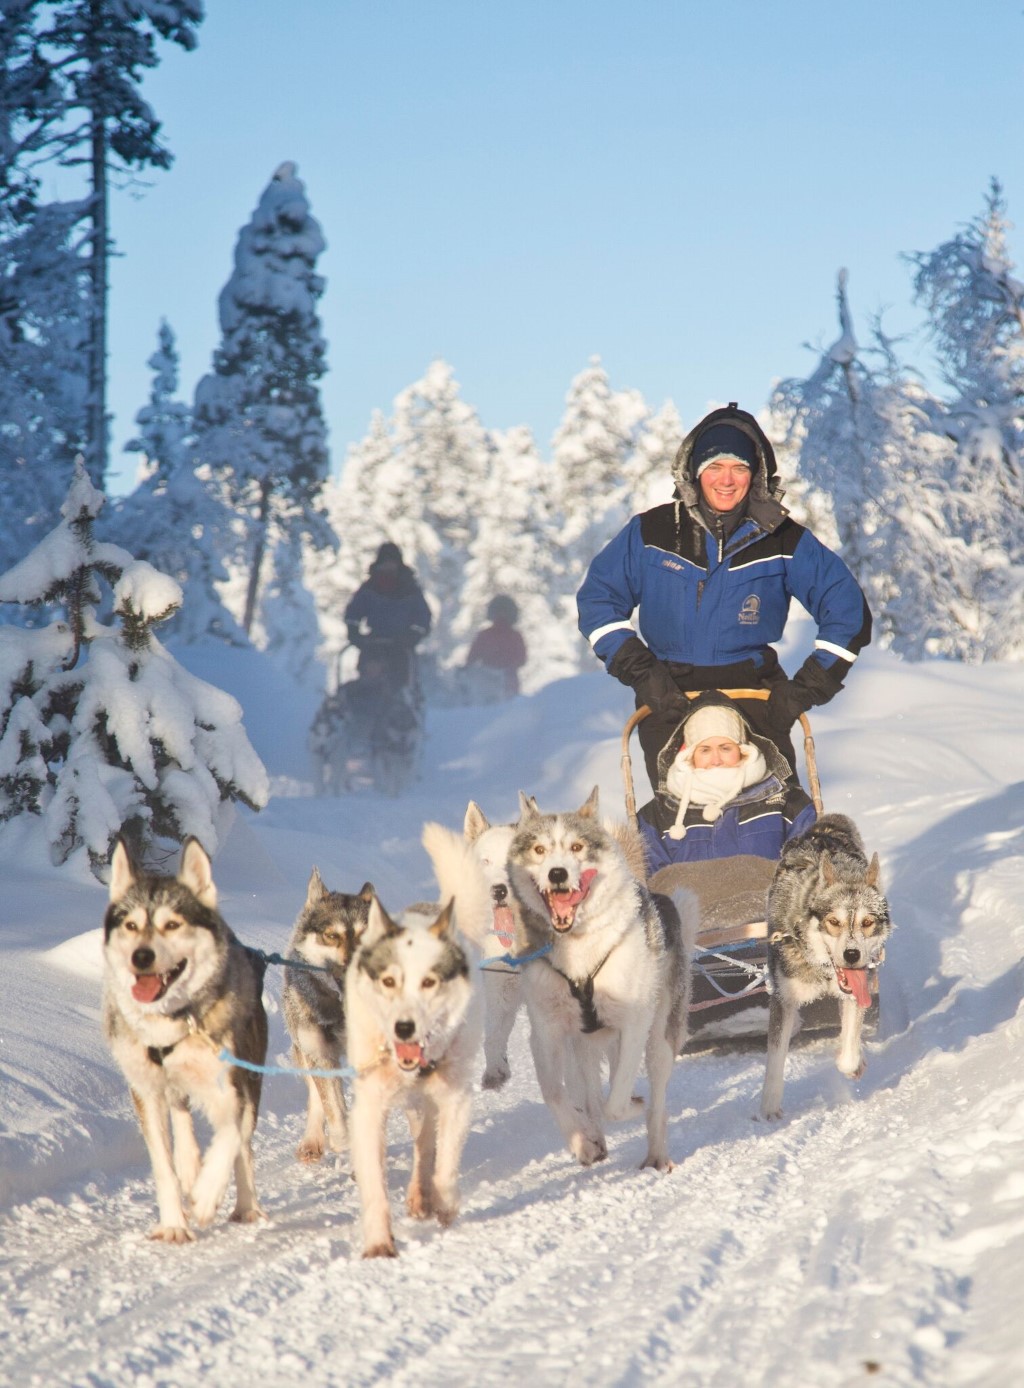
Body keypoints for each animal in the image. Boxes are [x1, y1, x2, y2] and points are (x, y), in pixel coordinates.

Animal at [100, 838, 263, 1243]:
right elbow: (164, 1166)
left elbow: (230, 1136)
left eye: (172, 925)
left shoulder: (232, 1086)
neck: (170, 1021)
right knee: (180, 1112)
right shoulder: (145, 1090)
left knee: (243, 1145)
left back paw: (245, 1205)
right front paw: (174, 1223)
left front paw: (206, 1196)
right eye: (131, 925)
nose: (141, 956)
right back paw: (190, 1164)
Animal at [281, 871, 371, 1165]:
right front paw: (342, 1138)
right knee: (316, 1094)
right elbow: (331, 1104)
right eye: (332, 935)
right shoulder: (319, 1052)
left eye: (366, 934)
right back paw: (314, 1140)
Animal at [345, 866, 485, 1260]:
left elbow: (445, 1168)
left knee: (426, 1148)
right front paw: (379, 1243)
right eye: (389, 980)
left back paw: (424, 1195)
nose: (403, 1028)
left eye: (429, 982)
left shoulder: (456, 1099)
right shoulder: (368, 1108)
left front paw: (446, 1203)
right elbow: (374, 1187)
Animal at [507, 788, 690, 1165]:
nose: (557, 873)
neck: (577, 950)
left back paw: (656, 1153)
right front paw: (582, 1141)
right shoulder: (546, 1030)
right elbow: (554, 1093)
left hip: (659, 1035)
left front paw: (631, 1105)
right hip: (581, 1046)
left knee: (654, 1097)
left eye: (577, 847)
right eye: (539, 850)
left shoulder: (634, 1023)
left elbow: (616, 1103)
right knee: (588, 1094)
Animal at [754, 810, 888, 1115]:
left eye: (867, 922)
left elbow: (848, 1052)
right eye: (833, 922)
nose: (852, 955)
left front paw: (854, 1062)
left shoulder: (857, 990)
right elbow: (775, 1057)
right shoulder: (783, 998)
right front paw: (769, 1107)